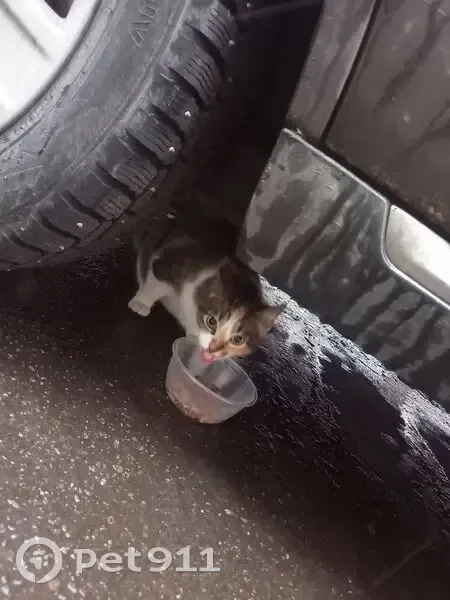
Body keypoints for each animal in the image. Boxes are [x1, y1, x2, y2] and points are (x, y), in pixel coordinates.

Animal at [128, 223, 285, 363]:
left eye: (238, 339)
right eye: (211, 322)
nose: (212, 349)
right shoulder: (171, 262)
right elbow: (158, 282)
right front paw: (141, 302)